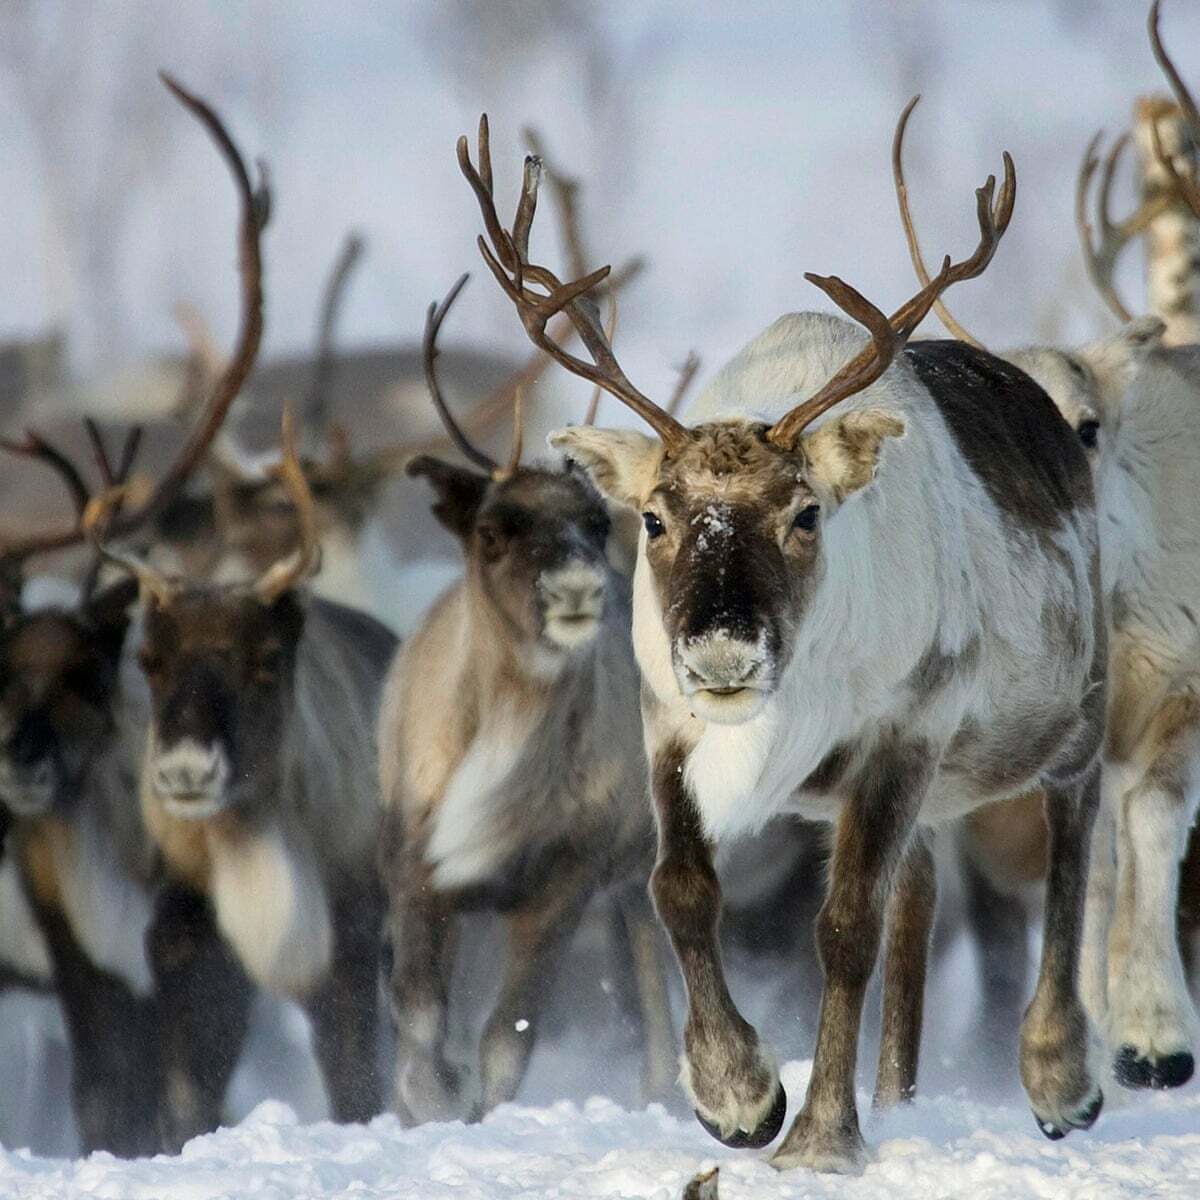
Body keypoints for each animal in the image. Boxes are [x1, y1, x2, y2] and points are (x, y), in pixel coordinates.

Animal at [376, 272, 676, 1123]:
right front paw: (431, 1100)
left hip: (637, 869)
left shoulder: (562, 882)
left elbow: (507, 1038)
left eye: (594, 523)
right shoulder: (418, 861)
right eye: (491, 530)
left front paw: (470, 1105)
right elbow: (418, 1017)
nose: (578, 588)